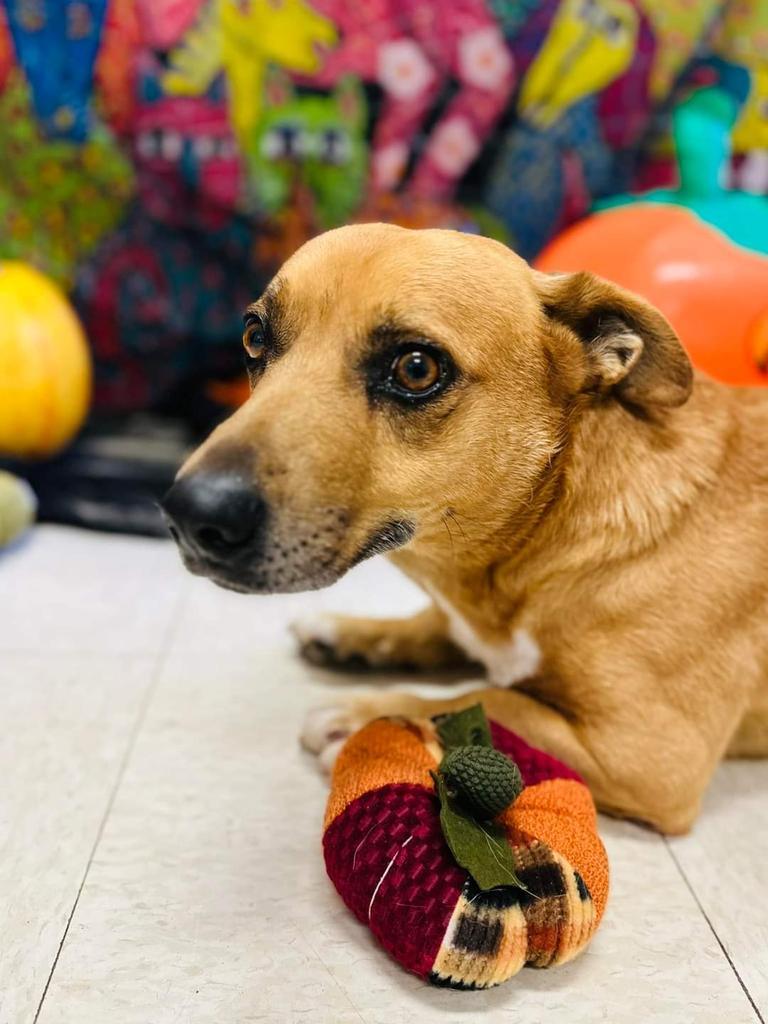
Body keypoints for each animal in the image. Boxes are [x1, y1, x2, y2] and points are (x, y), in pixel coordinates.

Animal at [162, 222, 768, 831]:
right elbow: (436, 631)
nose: (189, 513)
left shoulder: (648, 754)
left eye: (416, 368)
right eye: (254, 338)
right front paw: (353, 633)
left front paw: (369, 714)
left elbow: (497, 700)